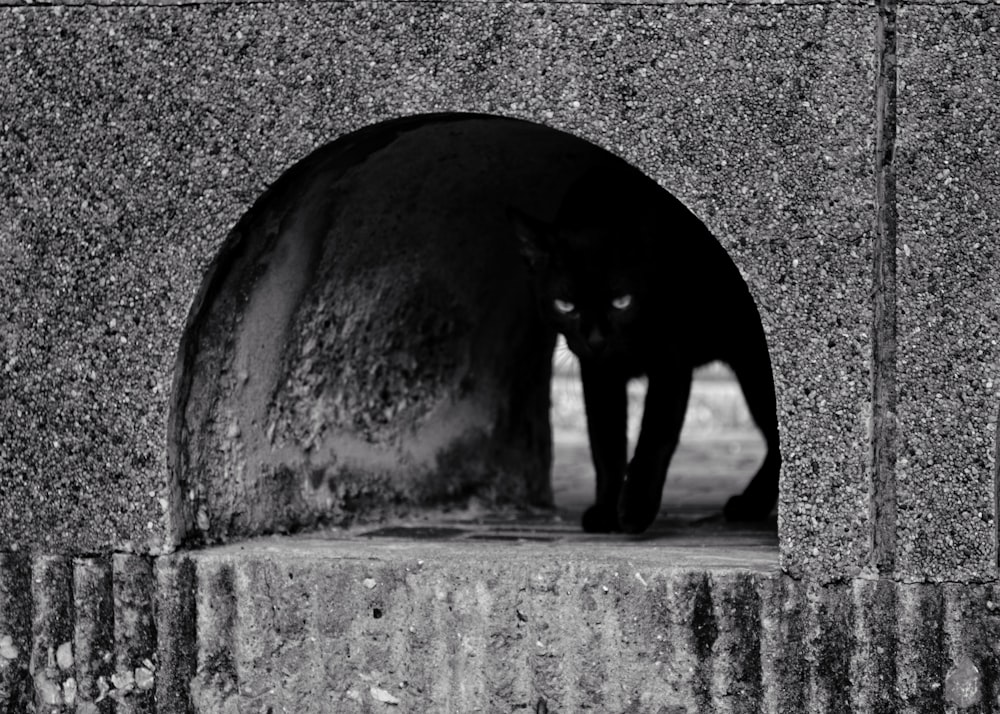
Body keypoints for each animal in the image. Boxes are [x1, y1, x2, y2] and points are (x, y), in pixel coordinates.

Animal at [516, 157, 780, 536]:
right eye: (565, 305)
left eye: (622, 301)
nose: (596, 339)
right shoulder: (598, 374)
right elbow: (605, 444)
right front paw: (605, 510)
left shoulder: (670, 363)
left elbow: (654, 437)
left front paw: (635, 509)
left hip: (754, 364)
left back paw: (750, 503)